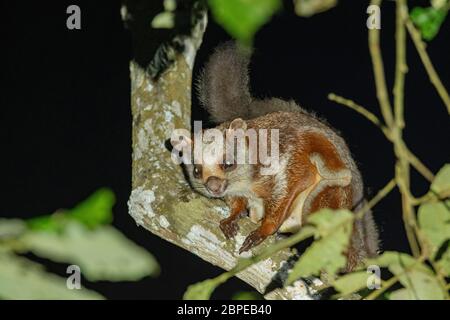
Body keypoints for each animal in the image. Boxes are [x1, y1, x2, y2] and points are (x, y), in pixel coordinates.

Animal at [172, 40, 380, 270]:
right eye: (197, 172)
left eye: (228, 164)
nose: (213, 187)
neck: (247, 181)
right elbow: (236, 202)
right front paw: (232, 217)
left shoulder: (283, 153)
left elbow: (295, 180)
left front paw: (265, 229)